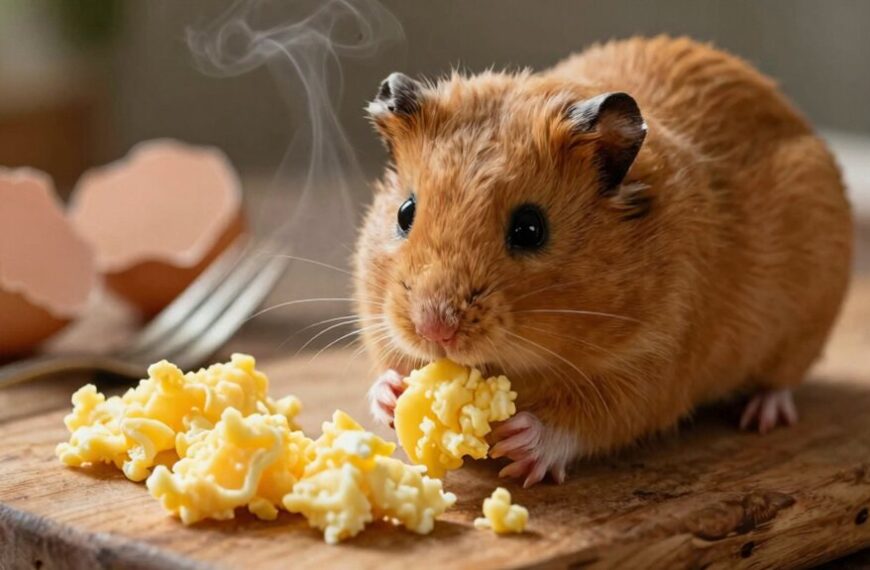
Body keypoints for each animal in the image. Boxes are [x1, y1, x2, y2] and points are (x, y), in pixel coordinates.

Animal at [354, 36, 853, 487]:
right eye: (405, 213)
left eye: (530, 229)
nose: (435, 330)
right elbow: (385, 367)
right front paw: (392, 396)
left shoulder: (653, 367)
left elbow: (588, 421)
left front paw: (520, 445)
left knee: (783, 380)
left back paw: (762, 415)